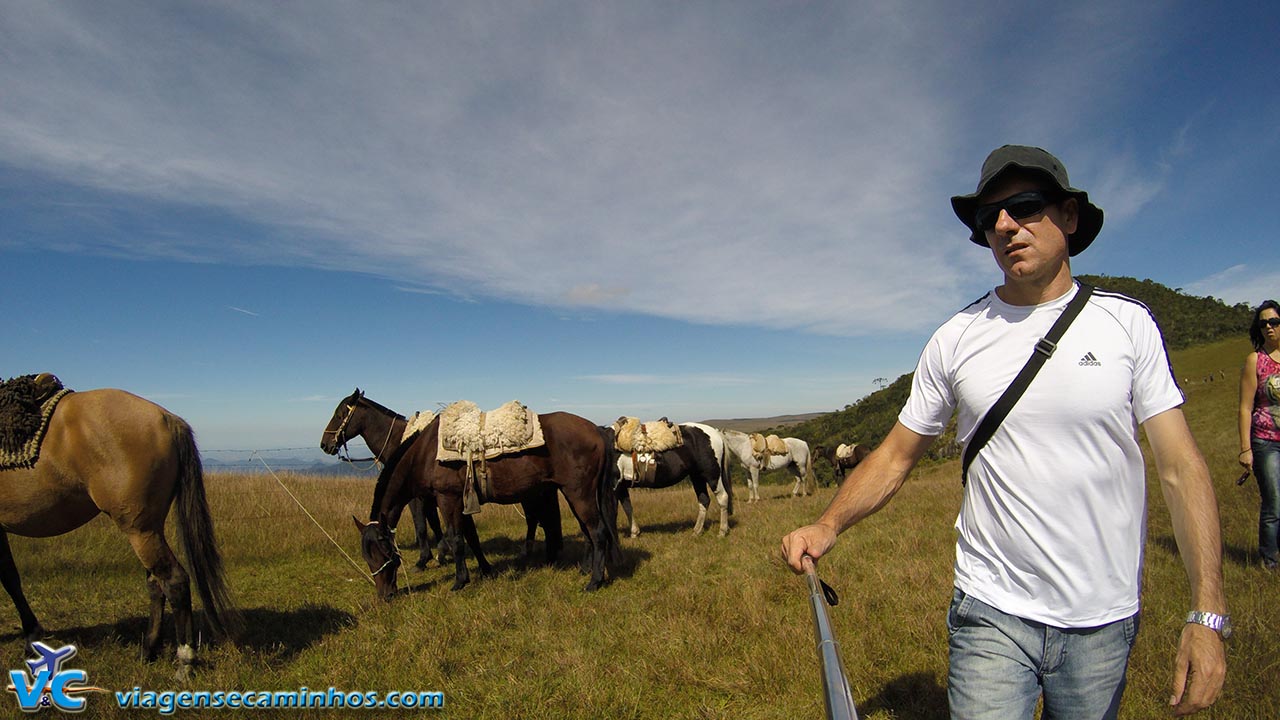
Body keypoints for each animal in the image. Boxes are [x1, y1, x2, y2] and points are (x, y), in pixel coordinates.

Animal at [0, 386, 240, 671]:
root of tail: (167, 418)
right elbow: (11, 578)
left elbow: (9, 580)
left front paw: (32, 638)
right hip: (150, 528)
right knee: (156, 582)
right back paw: (148, 650)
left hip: (140, 530)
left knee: (174, 580)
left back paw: (185, 660)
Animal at [320, 386, 560, 566]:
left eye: (340, 414)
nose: (325, 444)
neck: (403, 443)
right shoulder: (428, 496)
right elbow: (434, 523)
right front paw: (442, 552)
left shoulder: (417, 498)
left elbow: (421, 525)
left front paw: (426, 558)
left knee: (533, 518)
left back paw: (528, 550)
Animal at [358, 409, 622, 594]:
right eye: (366, 557)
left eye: (384, 553)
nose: (385, 595)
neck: (426, 454)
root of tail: (597, 430)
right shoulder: (461, 502)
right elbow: (472, 538)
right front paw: (485, 570)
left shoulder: (447, 500)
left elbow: (456, 540)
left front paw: (459, 581)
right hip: (574, 493)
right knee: (588, 532)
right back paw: (587, 570)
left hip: (579, 493)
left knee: (598, 532)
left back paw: (594, 581)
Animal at [606, 420, 737, 532]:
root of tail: (716, 433)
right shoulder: (621, 486)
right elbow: (627, 507)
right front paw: (634, 532)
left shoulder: (614, 485)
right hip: (697, 477)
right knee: (704, 500)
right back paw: (697, 531)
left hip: (712, 476)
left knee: (723, 498)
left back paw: (722, 531)